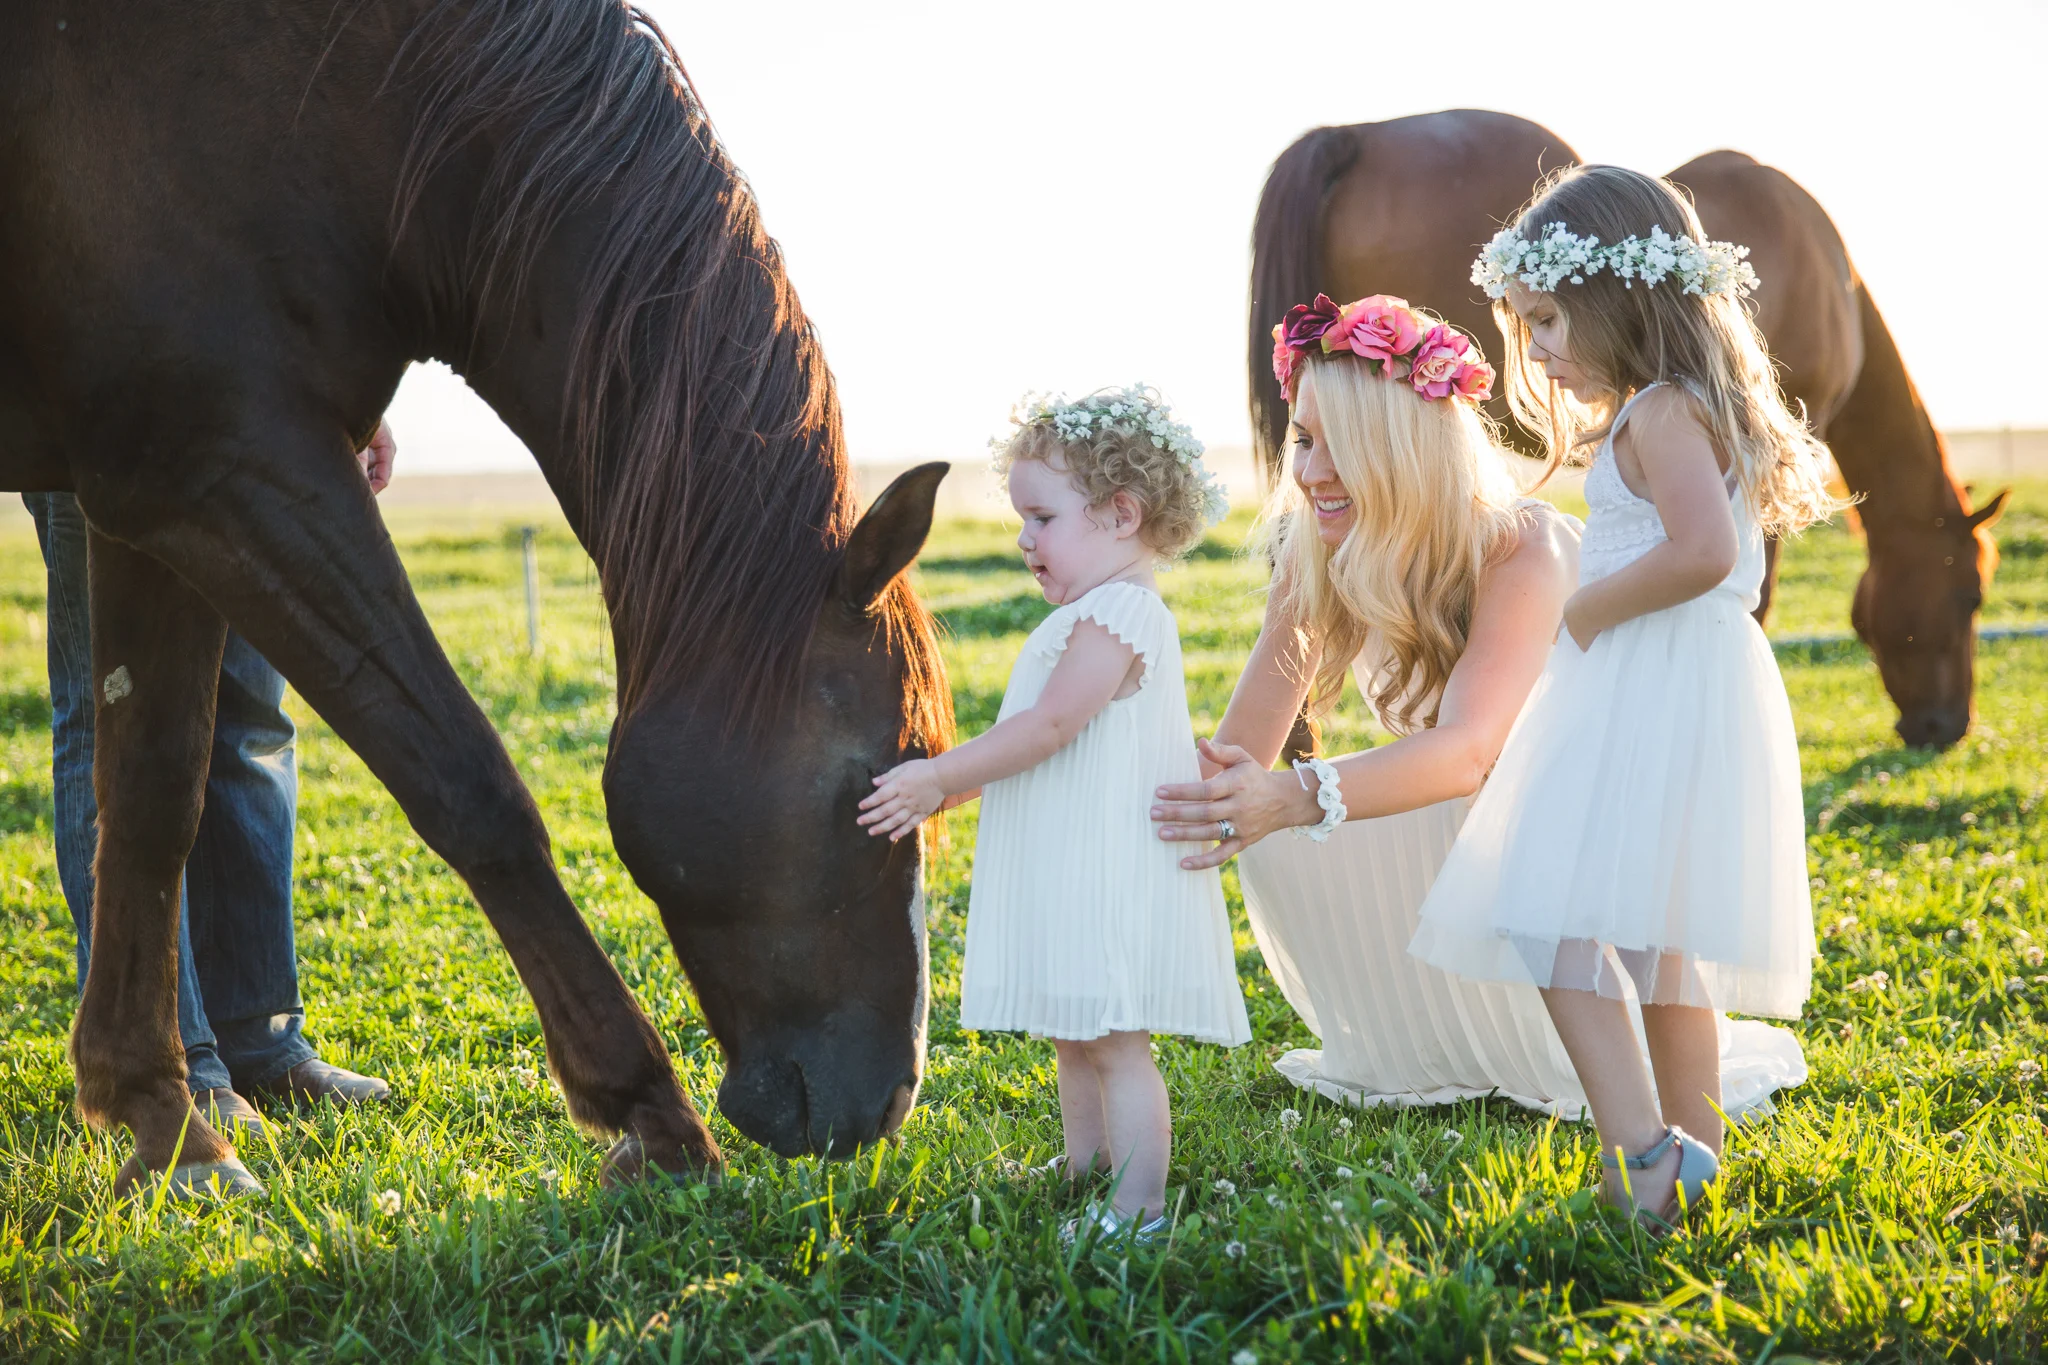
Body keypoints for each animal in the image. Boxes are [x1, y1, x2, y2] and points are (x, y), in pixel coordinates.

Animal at [0, 0, 954, 1195]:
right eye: (881, 775)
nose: (889, 1101)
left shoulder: (146, 505)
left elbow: (153, 798)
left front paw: (162, 1123)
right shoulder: (227, 469)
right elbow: (466, 780)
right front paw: (649, 1113)